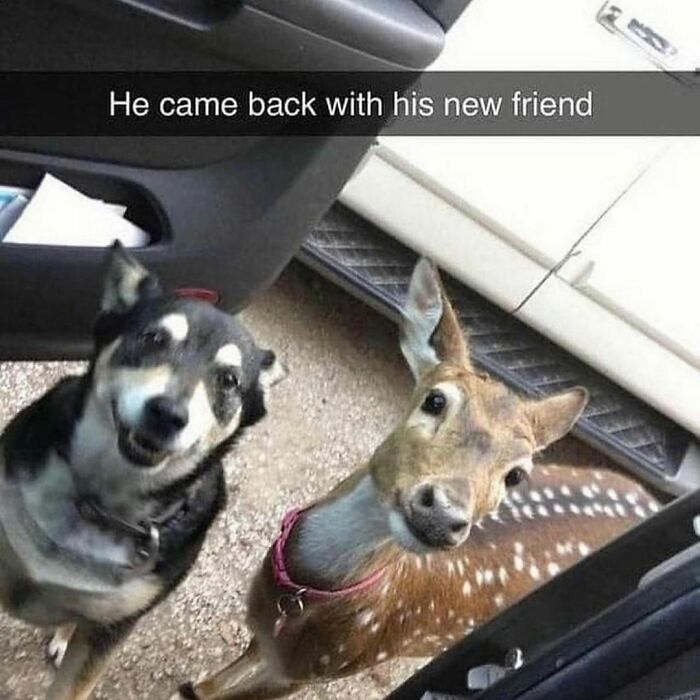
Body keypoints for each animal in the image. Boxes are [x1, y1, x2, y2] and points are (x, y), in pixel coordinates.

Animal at [174, 258, 660, 700]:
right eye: (435, 400)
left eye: (517, 474)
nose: (443, 514)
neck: (302, 595)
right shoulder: (265, 638)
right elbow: (207, 687)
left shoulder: (316, 669)